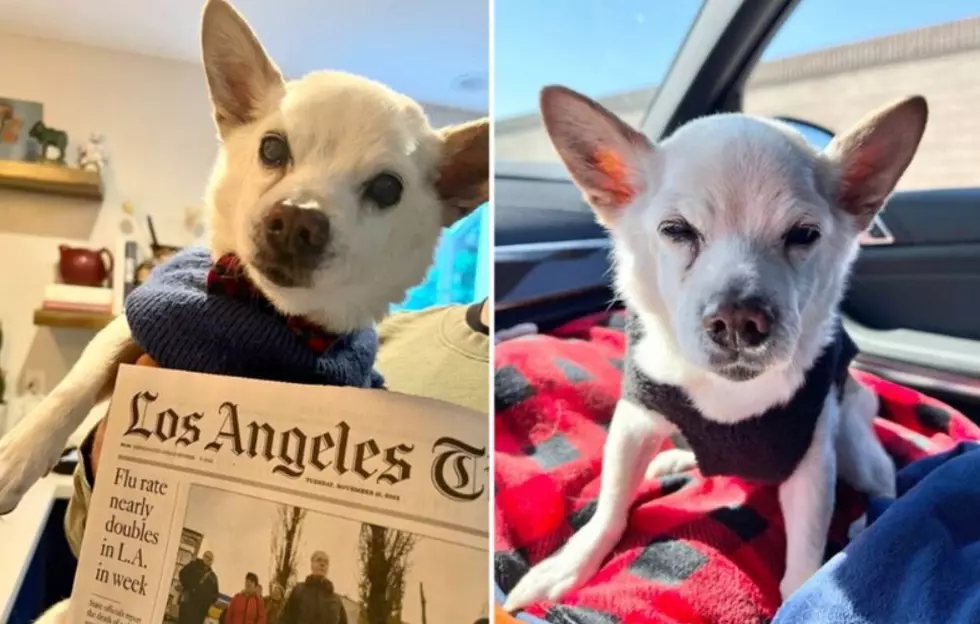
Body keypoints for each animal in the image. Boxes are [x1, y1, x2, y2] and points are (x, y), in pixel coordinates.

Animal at [0, 0, 486, 620]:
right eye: (272, 149)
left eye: (386, 188)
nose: (298, 217)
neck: (271, 314)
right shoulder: (137, 320)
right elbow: (80, 378)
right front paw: (16, 456)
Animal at [506, 84, 928, 608]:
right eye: (676, 230)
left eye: (804, 234)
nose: (740, 319)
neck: (729, 397)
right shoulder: (634, 420)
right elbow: (611, 503)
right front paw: (572, 562)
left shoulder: (811, 464)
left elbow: (804, 560)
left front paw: (805, 592)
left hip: (853, 443)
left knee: (887, 481)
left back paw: (866, 522)